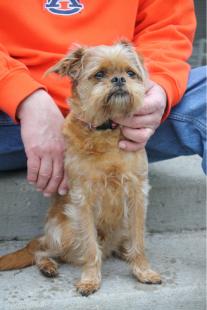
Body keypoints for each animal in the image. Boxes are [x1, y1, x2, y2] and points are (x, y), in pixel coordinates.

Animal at [0, 41, 162, 296]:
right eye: (99, 75)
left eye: (130, 73)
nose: (119, 79)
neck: (105, 129)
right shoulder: (83, 201)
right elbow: (90, 247)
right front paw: (90, 279)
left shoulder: (137, 195)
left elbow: (139, 240)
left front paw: (143, 271)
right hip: (65, 232)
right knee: (40, 250)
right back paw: (47, 265)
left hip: (120, 226)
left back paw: (123, 252)